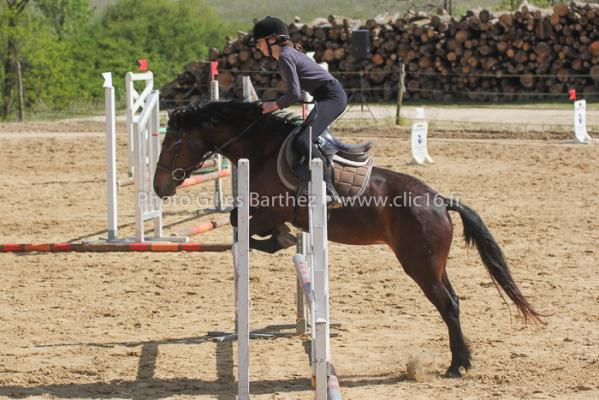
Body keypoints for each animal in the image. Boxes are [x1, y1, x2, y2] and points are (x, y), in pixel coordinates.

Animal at [154, 100, 544, 378]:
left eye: (173, 142)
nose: (160, 187)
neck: (263, 150)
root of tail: (439, 200)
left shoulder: (270, 208)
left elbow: (242, 222)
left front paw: (280, 239)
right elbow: (245, 222)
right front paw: (282, 238)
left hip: (419, 266)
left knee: (447, 305)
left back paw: (456, 367)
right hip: (434, 265)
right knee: (455, 301)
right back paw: (460, 360)